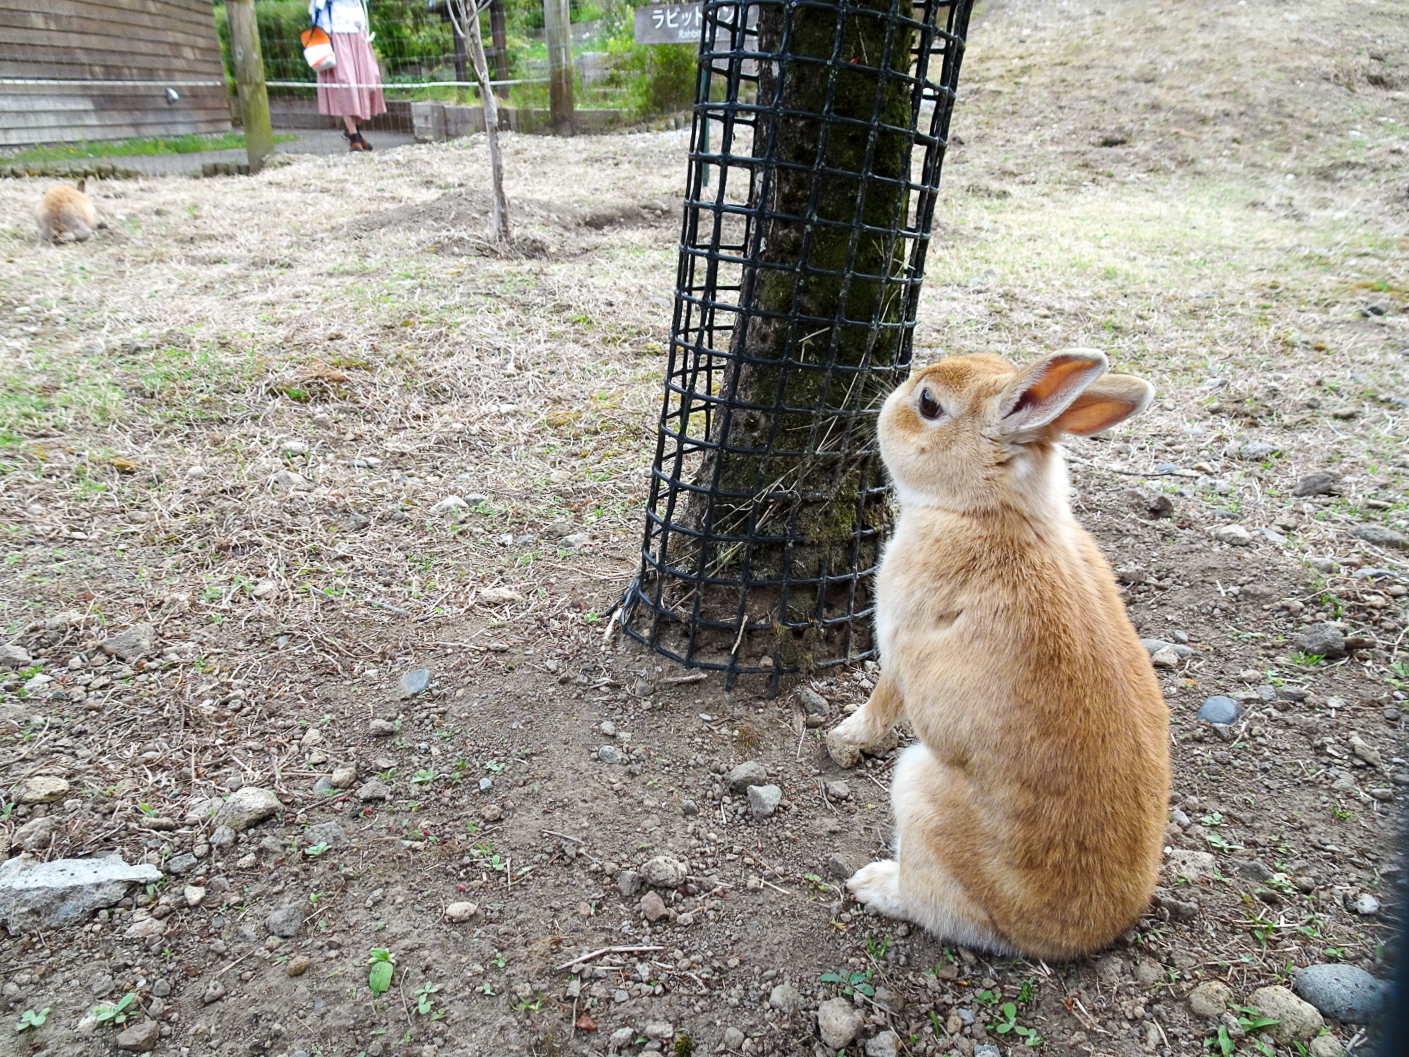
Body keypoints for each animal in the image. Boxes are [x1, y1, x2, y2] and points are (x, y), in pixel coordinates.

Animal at [828, 352, 1172, 963]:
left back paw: (874, 884)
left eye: (929, 405)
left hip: (918, 793)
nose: (888, 399)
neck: (986, 511)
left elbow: (882, 701)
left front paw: (843, 738)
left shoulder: (900, 642)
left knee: (933, 903)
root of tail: (1071, 937)